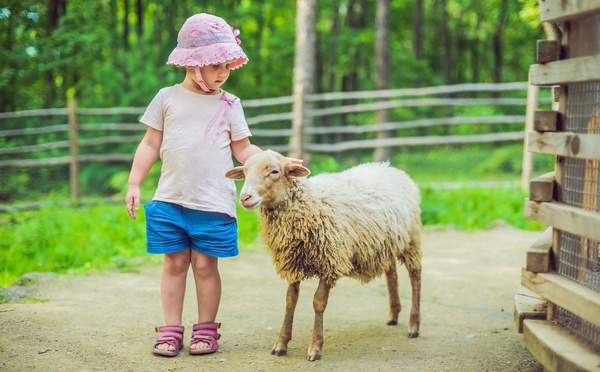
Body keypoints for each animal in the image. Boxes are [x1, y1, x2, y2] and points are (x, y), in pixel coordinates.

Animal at [225, 150, 422, 362]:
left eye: (274, 171)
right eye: (245, 172)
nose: (245, 197)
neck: (310, 204)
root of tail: (390, 168)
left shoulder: (330, 261)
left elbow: (318, 303)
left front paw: (315, 347)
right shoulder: (293, 262)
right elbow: (290, 301)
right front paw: (281, 344)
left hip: (412, 238)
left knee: (415, 277)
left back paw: (413, 326)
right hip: (385, 244)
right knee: (391, 272)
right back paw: (394, 314)